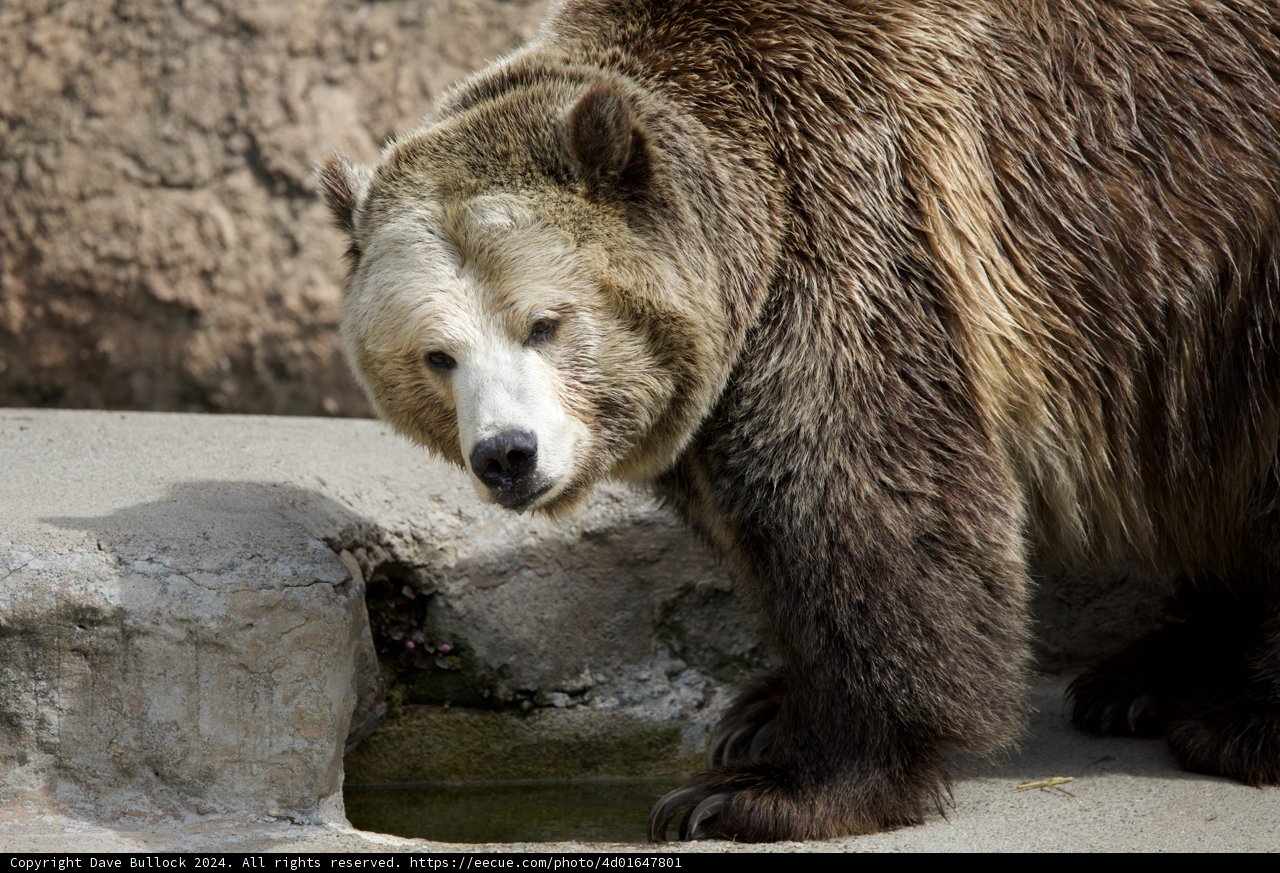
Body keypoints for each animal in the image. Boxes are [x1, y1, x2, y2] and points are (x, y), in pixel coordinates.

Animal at [320, 0, 1280, 843]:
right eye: (437, 354)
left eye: (545, 321)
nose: (508, 455)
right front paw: (764, 708)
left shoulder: (860, 219)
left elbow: (860, 504)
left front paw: (766, 791)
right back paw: (1147, 674)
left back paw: (1231, 722)